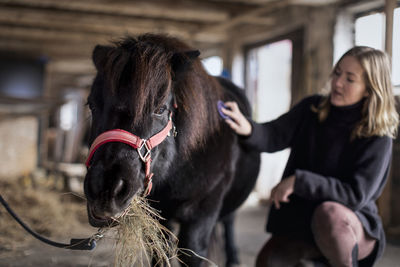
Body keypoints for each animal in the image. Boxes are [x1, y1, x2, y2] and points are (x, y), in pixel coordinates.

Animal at [84, 34, 260, 266]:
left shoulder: (201, 215)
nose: (106, 188)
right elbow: (160, 252)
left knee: (229, 220)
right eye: (92, 105)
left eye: (160, 109)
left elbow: (193, 252)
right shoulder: (158, 217)